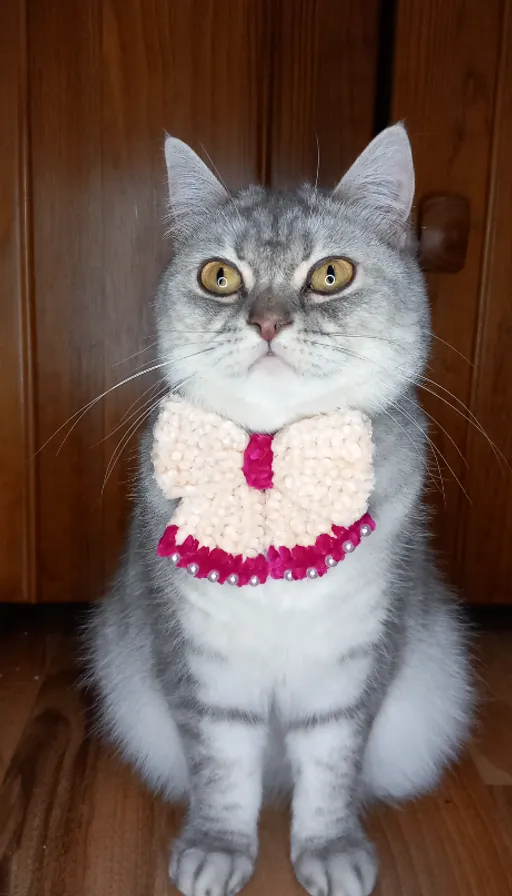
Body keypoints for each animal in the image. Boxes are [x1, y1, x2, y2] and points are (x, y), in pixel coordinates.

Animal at [86, 124, 474, 896]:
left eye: (331, 275)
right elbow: (221, 770)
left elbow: (330, 770)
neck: (272, 467)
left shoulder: (353, 661)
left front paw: (329, 852)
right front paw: (217, 848)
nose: (266, 321)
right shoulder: (201, 664)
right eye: (219, 276)